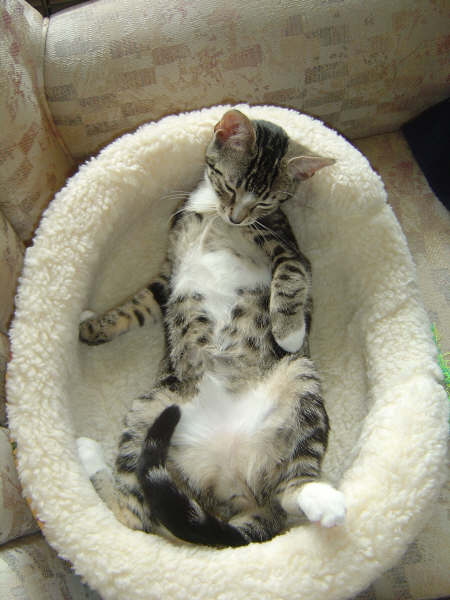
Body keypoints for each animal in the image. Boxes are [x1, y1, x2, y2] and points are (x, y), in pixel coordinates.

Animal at [77, 109, 346, 547]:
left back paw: (319, 497)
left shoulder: (288, 248)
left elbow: (290, 277)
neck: (212, 215)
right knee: (135, 511)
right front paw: (94, 326)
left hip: (300, 379)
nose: (237, 217)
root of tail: (235, 479)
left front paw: (287, 330)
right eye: (230, 186)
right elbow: (138, 304)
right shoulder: (168, 273)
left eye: (267, 200)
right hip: (149, 409)